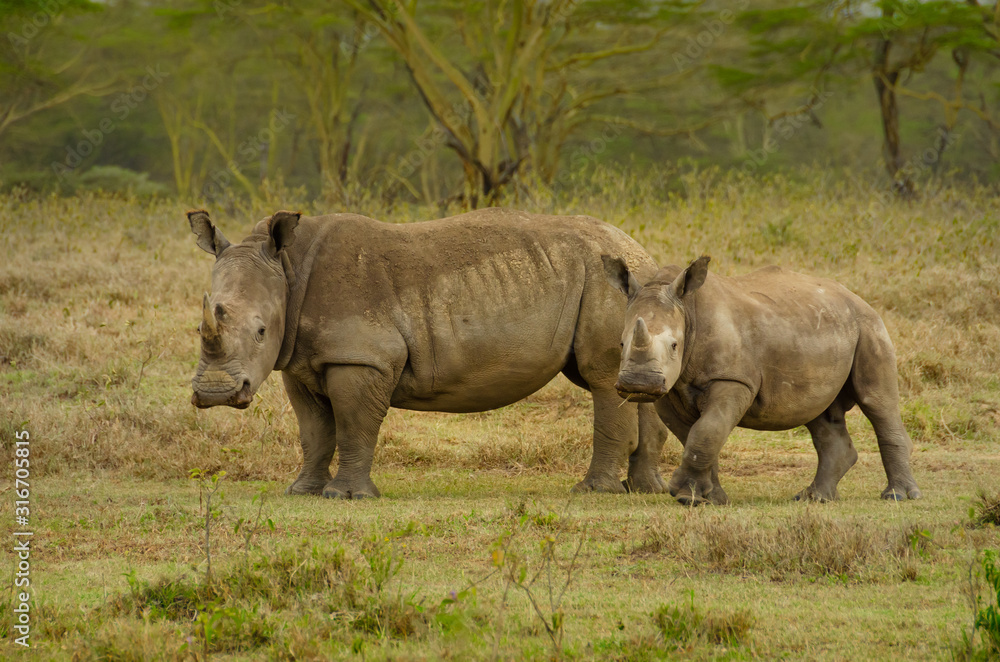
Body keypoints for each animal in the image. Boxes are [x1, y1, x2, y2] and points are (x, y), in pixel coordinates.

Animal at [188, 207, 671, 498]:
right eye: (200, 325)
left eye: (261, 331)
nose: (213, 394)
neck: (287, 270)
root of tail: (640, 252)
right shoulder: (301, 362)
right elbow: (314, 431)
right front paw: (302, 492)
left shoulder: (362, 356)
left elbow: (353, 425)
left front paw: (348, 496)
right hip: (626, 287)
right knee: (629, 382)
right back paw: (646, 490)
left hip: (605, 282)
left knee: (602, 377)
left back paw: (593, 492)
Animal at [602, 254, 922, 505]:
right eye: (620, 343)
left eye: (674, 346)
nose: (638, 384)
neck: (688, 311)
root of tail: (857, 297)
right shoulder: (670, 390)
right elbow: (696, 435)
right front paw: (709, 498)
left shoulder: (734, 379)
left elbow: (707, 430)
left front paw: (685, 496)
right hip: (822, 329)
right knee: (818, 413)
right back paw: (813, 498)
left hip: (868, 326)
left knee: (876, 401)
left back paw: (898, 496)